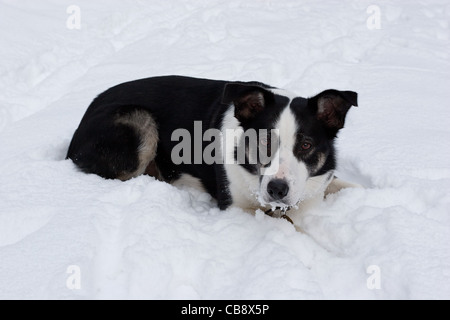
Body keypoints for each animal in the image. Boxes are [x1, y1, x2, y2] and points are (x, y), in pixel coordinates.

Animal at [66, 75, 358, 222]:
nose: (277, 189)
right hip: (139, 120)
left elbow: (346, 185)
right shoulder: (235, 208)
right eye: (264, 140)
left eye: (306, 144)